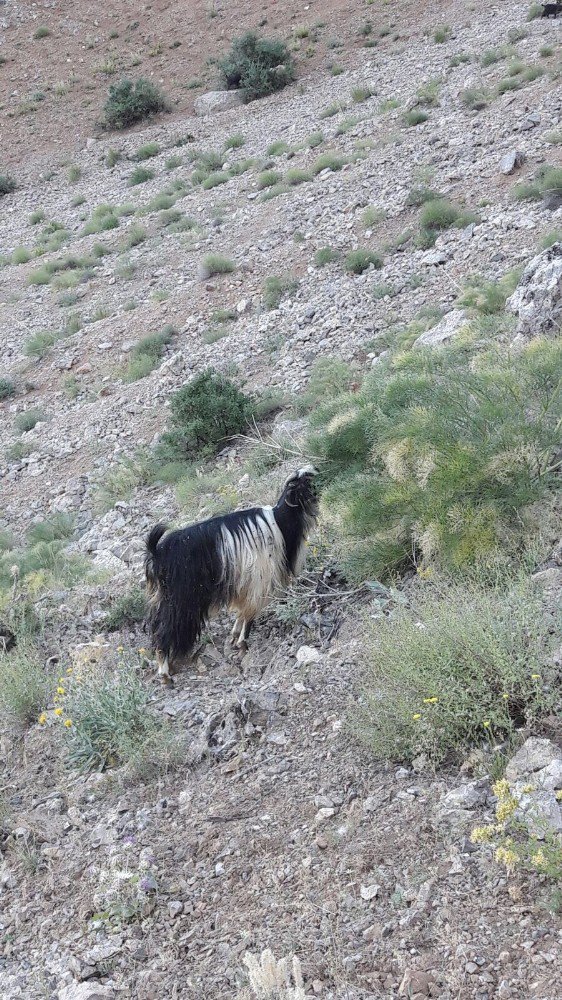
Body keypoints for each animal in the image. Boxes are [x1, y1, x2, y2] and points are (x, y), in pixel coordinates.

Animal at [144, 466, 318, 684]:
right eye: (308, 480)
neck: (280, 523)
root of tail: (157, 554)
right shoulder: (259, 581)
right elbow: (250, 612)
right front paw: (242, 643)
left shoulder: (245, 584)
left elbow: (243, 611)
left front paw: (234, 636)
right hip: (180, 600)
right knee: (164, 630)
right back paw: (165, 673)